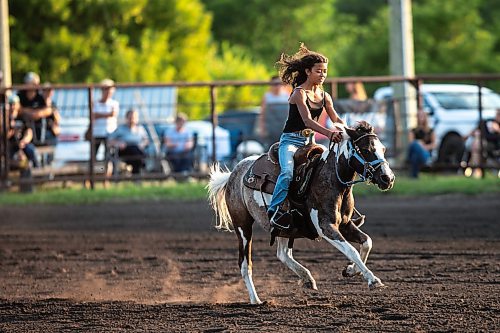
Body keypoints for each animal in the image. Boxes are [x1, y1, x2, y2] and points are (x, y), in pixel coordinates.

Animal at [207, 121, 394, 304]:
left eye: (383, 149)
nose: (388, 178)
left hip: (284, 227)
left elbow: (367, 242)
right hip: (243, 226)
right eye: (366, 150)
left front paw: (351, 270)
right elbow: (351, 251)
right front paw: (373, 280)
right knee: (245, 264)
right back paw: (256, 299)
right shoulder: (325, 227)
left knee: (283, 254)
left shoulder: (345, 225)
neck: (331, 178)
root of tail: (234, 174)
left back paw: (307, 279)